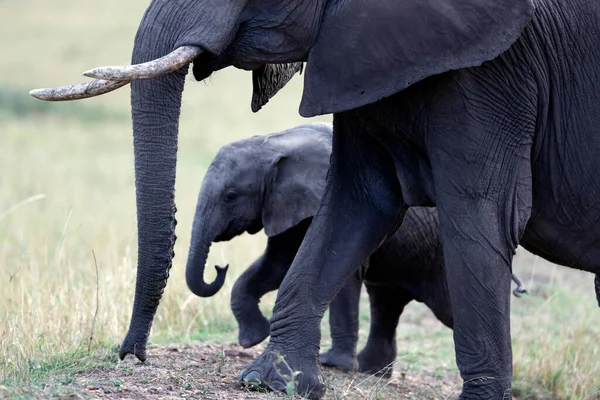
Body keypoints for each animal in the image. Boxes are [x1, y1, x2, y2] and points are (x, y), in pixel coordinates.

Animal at [186, 123, 524, 376]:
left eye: (230, 196)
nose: (219, 267)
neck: (274, 144)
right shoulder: (284, 206)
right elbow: (275, 265)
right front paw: (253, 338)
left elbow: (342, 277)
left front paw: (333, 364)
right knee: (386, 304)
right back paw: (373, 372)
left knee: (446, 309)